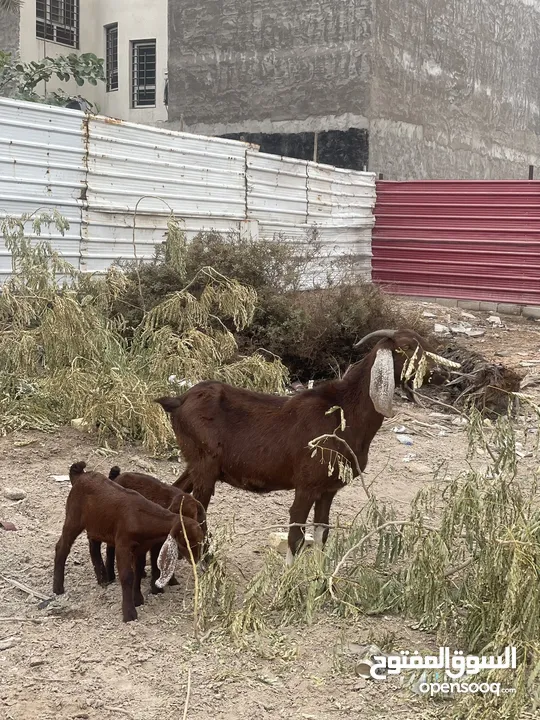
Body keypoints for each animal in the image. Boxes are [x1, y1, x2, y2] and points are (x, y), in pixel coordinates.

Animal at [153, 330, 448, 564]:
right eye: (406, 347)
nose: (439, 375)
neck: (345, 413)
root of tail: (179, 400)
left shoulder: (328, 488)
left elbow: (322, 531)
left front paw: (320, 577)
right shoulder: (306, 484)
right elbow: (296, 534)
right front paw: (287, 583)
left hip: (196, 462)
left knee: (177, 493)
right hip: (205, 463)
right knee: (196, 509)